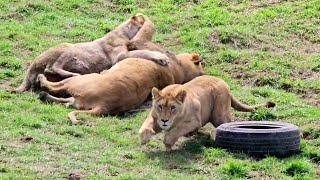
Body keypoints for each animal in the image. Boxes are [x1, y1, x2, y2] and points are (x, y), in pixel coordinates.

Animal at [12, 13, 168, 93]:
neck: (126, 34)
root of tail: (33, 63)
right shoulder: (119, 57)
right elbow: (143, 52)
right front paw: (161, 57)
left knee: (48, 72)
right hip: (69, 47)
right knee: (52, 67)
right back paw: (75, 75)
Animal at [37, 52, 205, 125]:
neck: (178, 68)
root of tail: (103, 106)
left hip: (80, 80)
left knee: (53, 86)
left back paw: (41, 80)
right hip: (78, 99)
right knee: (64, 100)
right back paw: (44, 95)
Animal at [139, 75, 276, 150]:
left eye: (172, 108)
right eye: (160, 106)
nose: (164, 120)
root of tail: (225, 84)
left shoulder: (195, 121)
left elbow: (177, 129)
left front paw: (168, 142)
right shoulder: (155, 116)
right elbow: (146, 125)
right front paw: (145, 138)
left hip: (219, 114)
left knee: (226, 124)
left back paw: (213, 135)